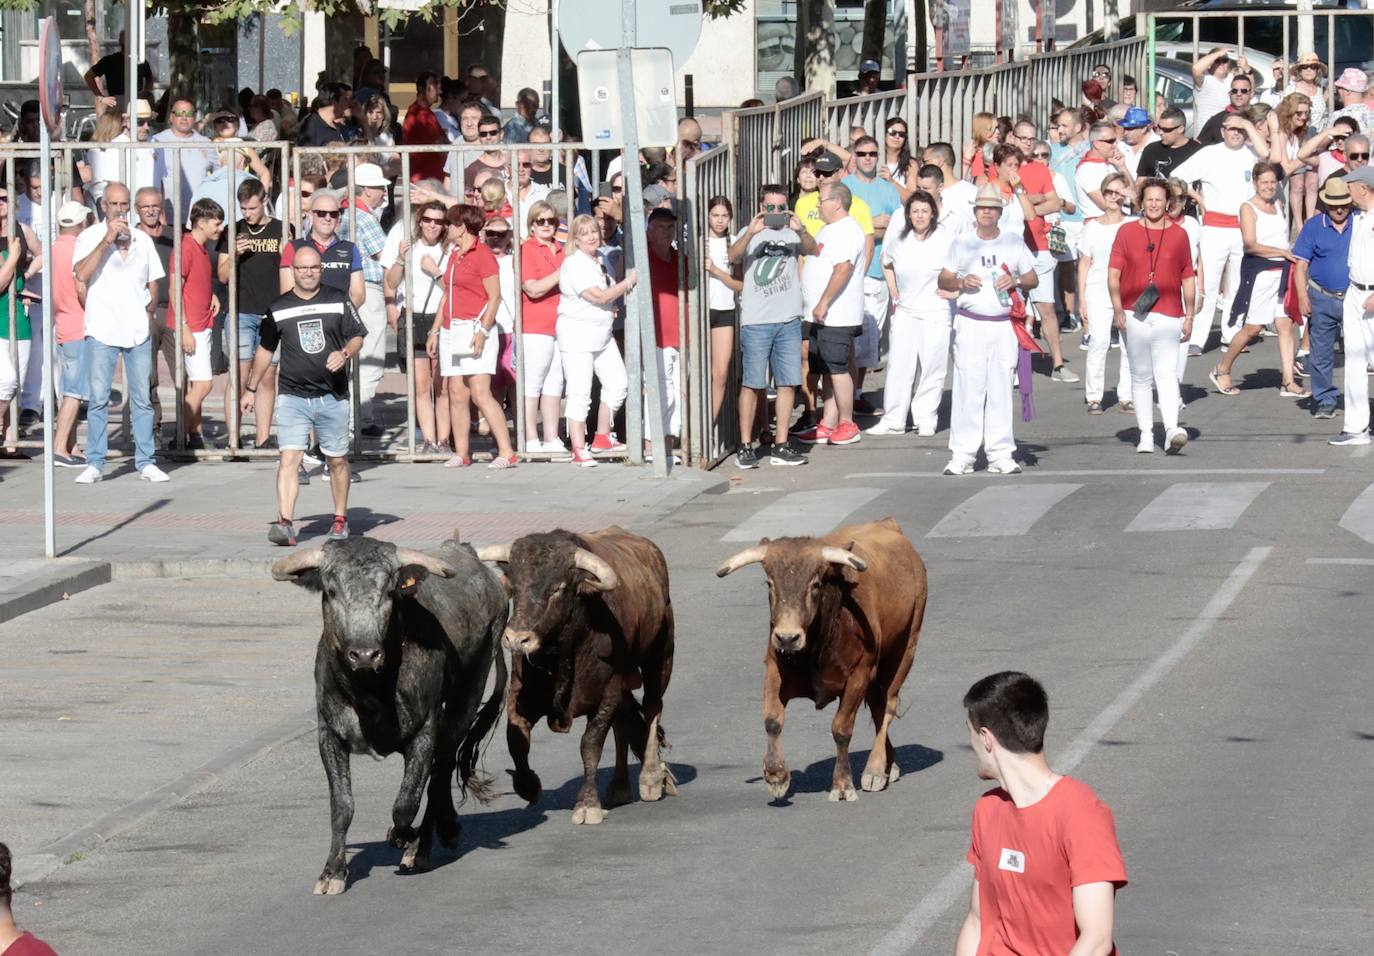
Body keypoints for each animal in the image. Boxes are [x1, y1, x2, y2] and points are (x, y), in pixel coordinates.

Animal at [270, 538, 508, 895]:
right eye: (332, 590)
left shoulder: (424, 732)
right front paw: (332, 872)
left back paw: (420, 850)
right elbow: (342, 805)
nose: (365, 654)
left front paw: (402, 837)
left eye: (389, 590)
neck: (371, 692)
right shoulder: (330, 736)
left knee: (440, 773)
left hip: (467, 697)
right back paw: (447, 830)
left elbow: (407, 801)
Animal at [475, 527, 678, 824]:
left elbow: (590, 745)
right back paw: (619, 786)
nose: (516, 638)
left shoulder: (608, 692)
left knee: (652, 708)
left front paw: (587, 805)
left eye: (558, 588)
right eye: (514, 585)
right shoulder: (520, 694)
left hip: (660, 657)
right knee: (623, 725)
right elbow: (516, 740)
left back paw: (650, 777)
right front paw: (528, 785)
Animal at [714, 519, 928, 802]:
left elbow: (841, 729)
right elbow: (772, 721)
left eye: (815, 585)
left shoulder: (858, 676)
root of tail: (887, 524)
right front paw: (776, 776)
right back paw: (888, 765)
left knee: (888, 707)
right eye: (770, 583)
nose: (787, 637)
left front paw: (843, 785)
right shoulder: (774, 670)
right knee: (878, 704)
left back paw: (874, 768)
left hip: (905, 650)